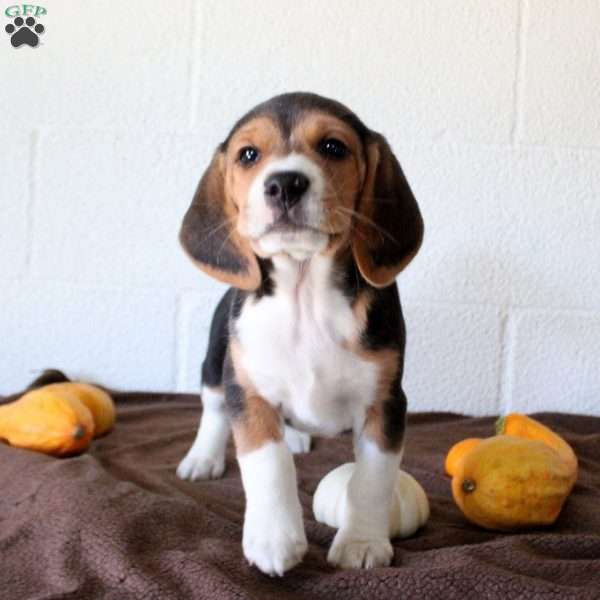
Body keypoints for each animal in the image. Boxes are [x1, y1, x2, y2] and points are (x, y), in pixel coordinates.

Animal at [177, 91, 422, 576]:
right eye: (248, 155)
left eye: (333, 147)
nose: (285, 183)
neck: (304, 295)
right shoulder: (248, 393)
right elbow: (269, 465)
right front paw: (274, 540)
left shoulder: (385, 403)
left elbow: (372, 480)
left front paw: (362, 544)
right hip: (215, 364)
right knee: (213, 409)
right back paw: (203, 458)